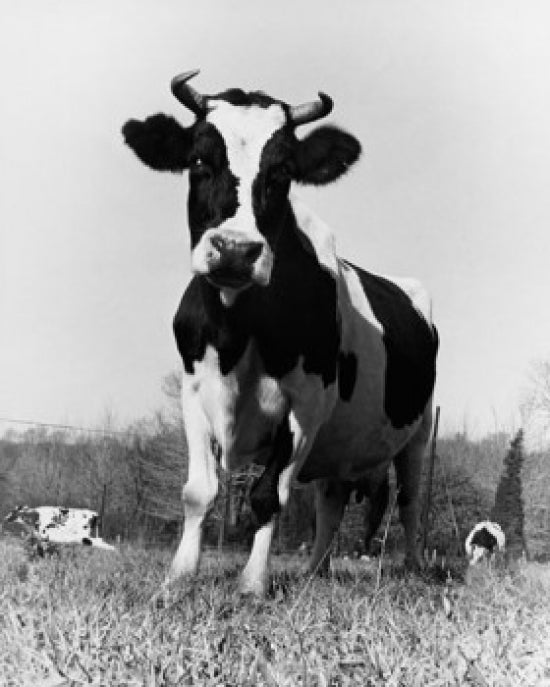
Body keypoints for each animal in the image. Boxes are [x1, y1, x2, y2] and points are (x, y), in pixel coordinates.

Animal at [122, 70, 438, 595]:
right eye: (198, 159)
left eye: (283, 172)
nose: (235, 249)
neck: (237, 332)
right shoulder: (193, 390)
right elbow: (198, 491)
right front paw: (179, 576)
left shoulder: (307, 404)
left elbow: (268, 495)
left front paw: (253, 583)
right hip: (342, 442)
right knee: (332, 501)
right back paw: (314, 571)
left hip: (418, 433)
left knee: (410, 502)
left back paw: (413, 567)